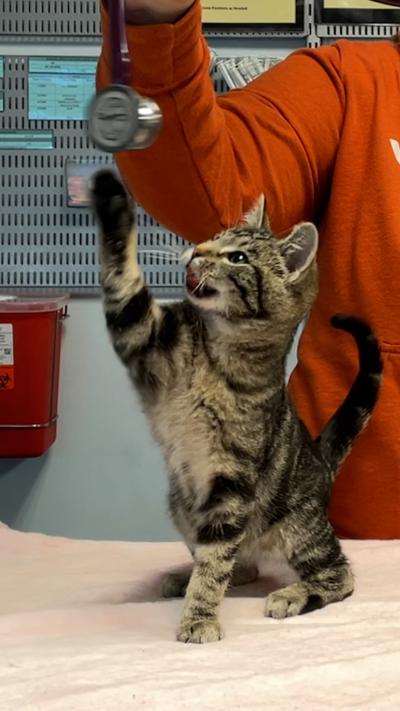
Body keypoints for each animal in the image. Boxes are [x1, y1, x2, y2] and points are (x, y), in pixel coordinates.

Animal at [92, 171, 382, 644]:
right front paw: (110, 196)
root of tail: (321, 462)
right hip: (183, 506)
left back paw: (293, 594)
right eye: (214, 236)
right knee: (239, 564)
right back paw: (187, 575)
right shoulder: (144, 338)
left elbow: (215, 564)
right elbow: (123, 282)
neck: (215, 351)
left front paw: (199, 618)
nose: (195, 249)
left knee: (338, 574)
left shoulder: (231, 479)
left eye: (238, 256)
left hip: (299, 528)